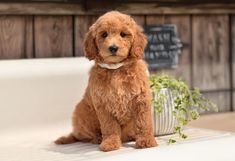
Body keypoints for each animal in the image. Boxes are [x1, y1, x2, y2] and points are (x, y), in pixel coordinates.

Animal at [55, 10, 158, 152]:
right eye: (104, 34)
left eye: (123, 34)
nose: (113, 48)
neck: (116, 69)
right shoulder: (103, 104)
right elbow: (109, 127)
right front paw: (110, 143)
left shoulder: (140, 100)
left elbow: (143, 122)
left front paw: (146, 141)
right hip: (82, 113)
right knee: (85, 136)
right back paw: (98, 139)